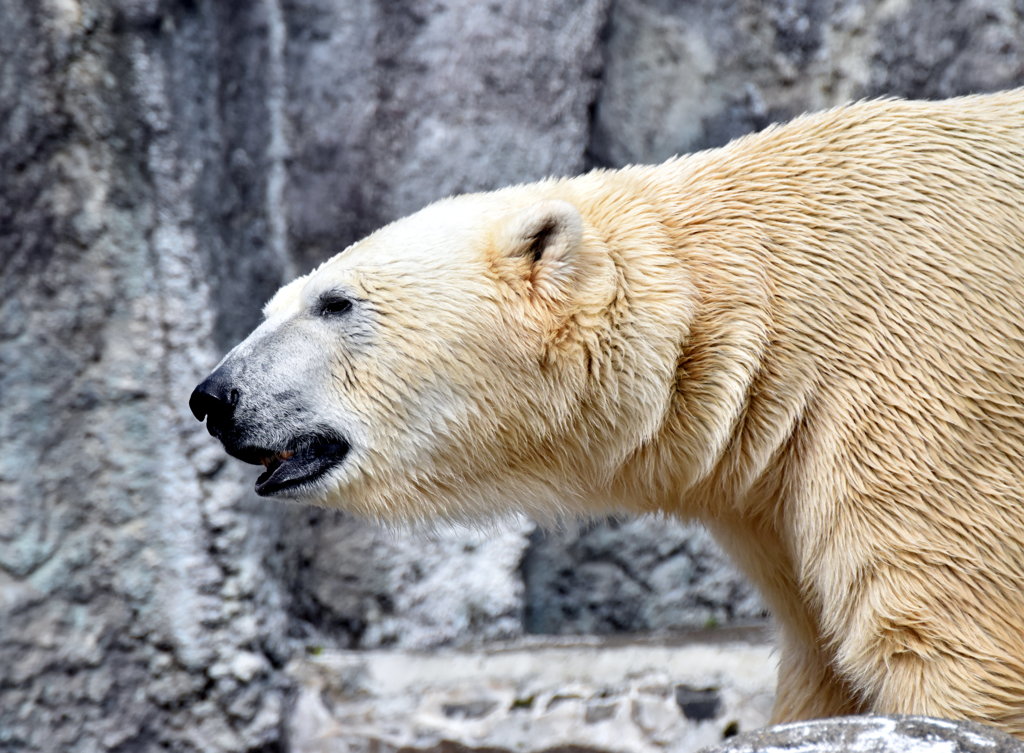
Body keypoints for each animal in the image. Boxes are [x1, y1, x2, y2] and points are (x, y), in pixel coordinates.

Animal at [192, 91, 1024, 737]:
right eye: (274, 305)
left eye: (336, 302)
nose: (213, 397)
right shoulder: (775, 483)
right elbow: (821, 654)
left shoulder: (913, 387)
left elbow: (951, 645)